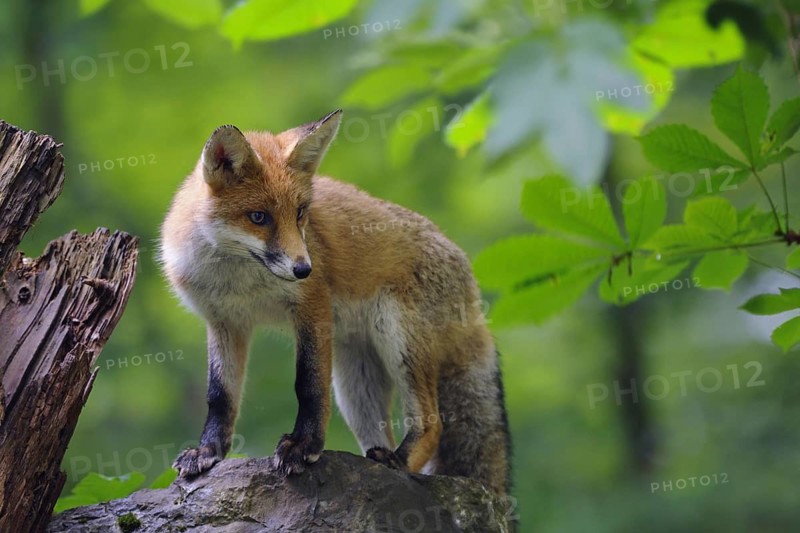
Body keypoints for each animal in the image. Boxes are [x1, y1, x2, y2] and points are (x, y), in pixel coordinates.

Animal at [159, 109, 511, 496]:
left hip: (398, 339)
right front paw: (208, 451)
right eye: (258, 217)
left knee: (433, 423)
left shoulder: (312, 307)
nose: (304, 269)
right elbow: (220, 396)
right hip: (354, 381)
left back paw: (398, 462)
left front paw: (303, 446)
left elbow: (308, 385)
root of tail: (469, 278)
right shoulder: (225, 322)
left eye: (300, 213)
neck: (239, 281)